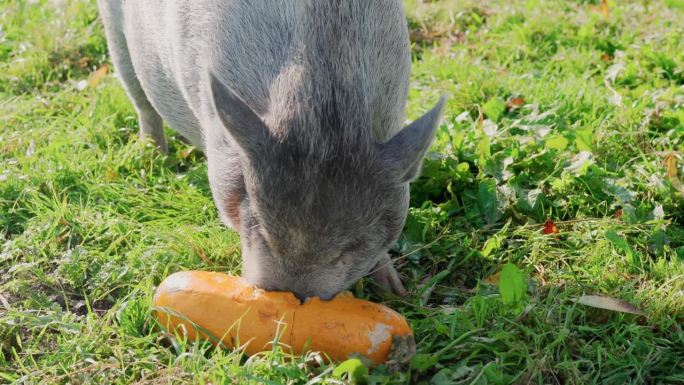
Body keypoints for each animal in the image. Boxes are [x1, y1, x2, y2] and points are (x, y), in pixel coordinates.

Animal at [99, 0, 446, 300]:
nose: (292, 297)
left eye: (350, 246)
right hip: (115, 35)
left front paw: (395, 292)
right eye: (263, 229)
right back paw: (153, 156)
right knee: (140, 99)